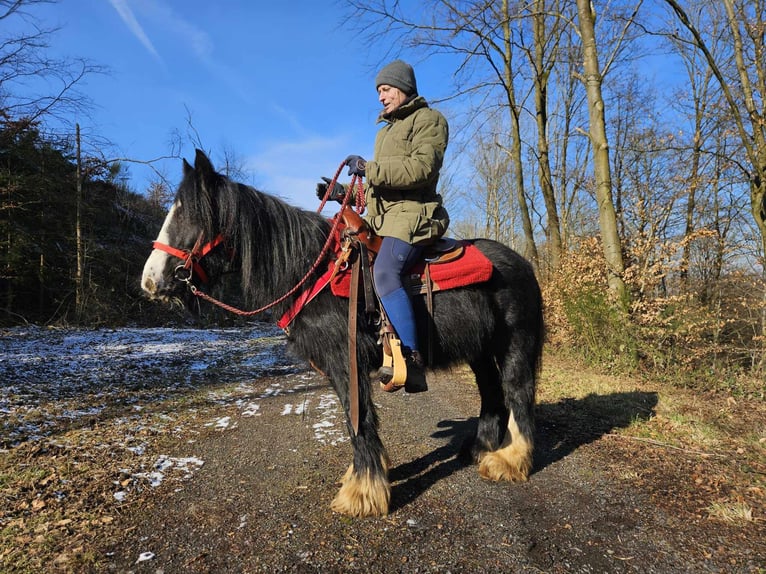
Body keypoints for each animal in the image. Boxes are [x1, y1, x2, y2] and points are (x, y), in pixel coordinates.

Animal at [140, 151, 544, 520]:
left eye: (190, 215)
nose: (150, 280)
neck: (312, 270)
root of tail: (523, 263)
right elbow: (354, 421)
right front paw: (363, 479)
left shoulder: (345, 363)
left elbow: (359, 419)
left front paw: (363, 493)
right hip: (480, 352)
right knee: (492, 395)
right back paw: (482, 449)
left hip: (515, 345)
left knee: (517, 395)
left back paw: (509, 461)